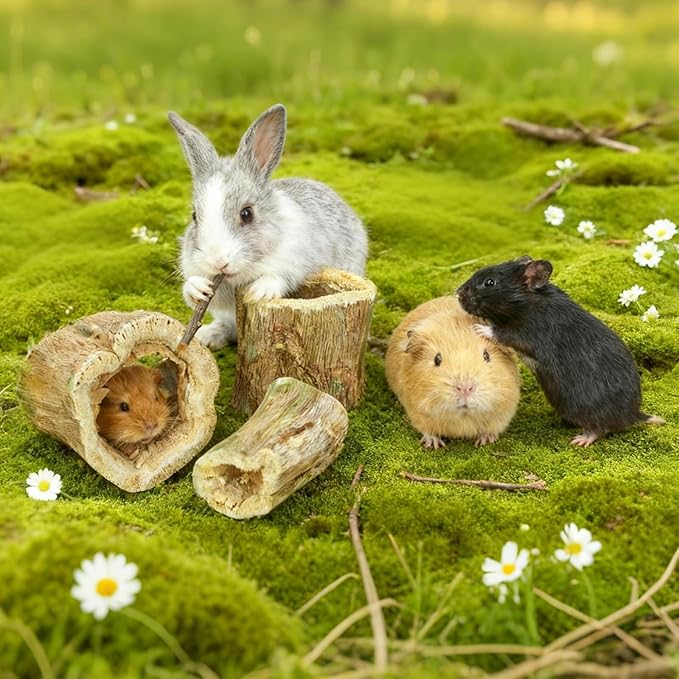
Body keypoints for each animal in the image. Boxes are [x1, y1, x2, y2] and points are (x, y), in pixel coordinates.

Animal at [168, 104, 368, 350]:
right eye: (195, 216)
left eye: (247, 213)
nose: (218, 261)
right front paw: (197, 288)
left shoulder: (295, 262)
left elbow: (278, 277)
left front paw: (258, 292)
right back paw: (208, 335)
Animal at [385, 296, 521, 449]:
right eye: (437, 359)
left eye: (486, 356)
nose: (465, 388)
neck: (464, 418)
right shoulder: (417, 413)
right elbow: (428, 431)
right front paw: (434, 445)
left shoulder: (503, 414)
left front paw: (484, 442)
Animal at [457, 256, 665, 447]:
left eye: (490, 282)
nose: (458, 294)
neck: (528, 302)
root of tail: (634, 415)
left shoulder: (527, 334)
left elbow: (500, 334)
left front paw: (478, 328)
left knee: (600, 429)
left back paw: (581, 439)